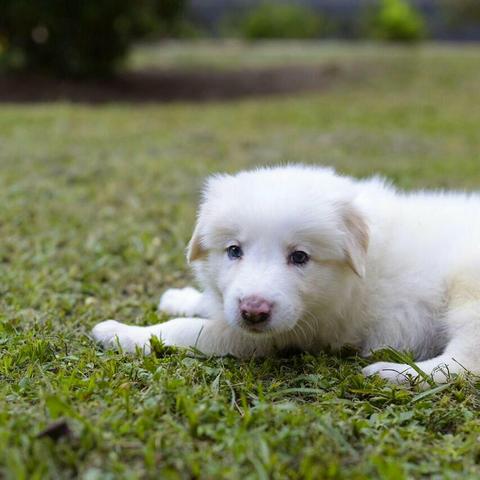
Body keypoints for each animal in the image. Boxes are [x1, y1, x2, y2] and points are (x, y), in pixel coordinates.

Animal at [92, 167, 480, 384]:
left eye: (300, 257)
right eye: (234, 251)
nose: (253, 311)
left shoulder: (284, 334)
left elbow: (189, 330)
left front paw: (118, 333)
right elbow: (209, 305)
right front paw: (180, 298)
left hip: (468, 292)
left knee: (465, 364)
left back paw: (392, 373)